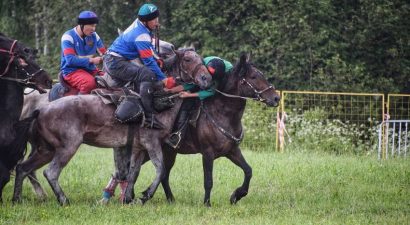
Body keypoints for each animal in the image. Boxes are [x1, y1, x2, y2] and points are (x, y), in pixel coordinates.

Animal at [12, 49, 211, 206]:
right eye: (188, 59)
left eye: (201, 59)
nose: (206, 78)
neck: (156, 100)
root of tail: (40, 110)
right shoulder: (151, 143)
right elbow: (160, 169)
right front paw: (145, 195)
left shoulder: (138, 148)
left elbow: (132, 173)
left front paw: (128, 198)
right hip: (67, 147)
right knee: (50, 172)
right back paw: (63, 200)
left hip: (45, 150)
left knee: (23, 168)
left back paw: (17, 199)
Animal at [105, 52, 282, 206]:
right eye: (253, 77)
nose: (276, 98)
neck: (222, 112)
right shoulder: (208, 153)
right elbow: (208, 180)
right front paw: (207, 203)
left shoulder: (232, 151)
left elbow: (248, 171)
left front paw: (237, 195)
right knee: (127, 170)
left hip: (169, 153)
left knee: (161, 174)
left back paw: (168, 199)